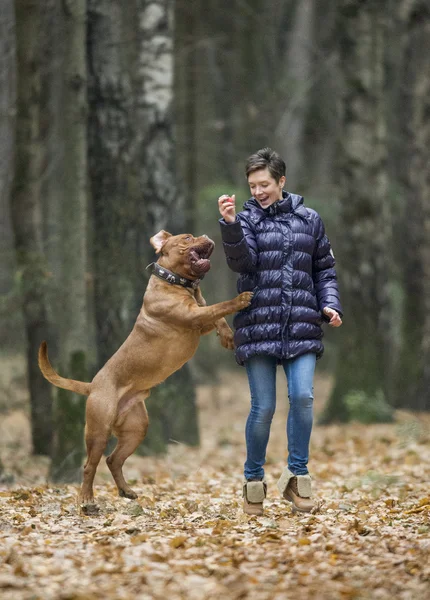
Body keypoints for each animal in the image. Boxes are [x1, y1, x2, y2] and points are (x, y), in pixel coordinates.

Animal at [38, 230, 254, 510]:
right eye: (187, 238)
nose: (206, 234)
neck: (177, 282)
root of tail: (93, 385)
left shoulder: (199, 317)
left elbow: (218, 315)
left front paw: (227, 336)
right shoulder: (192, 316)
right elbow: (221, 306)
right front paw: (240, 300)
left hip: (136, 428)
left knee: (113, 460)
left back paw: (126, 490)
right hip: (98, 431)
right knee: (89, 466)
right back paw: (87, 501)